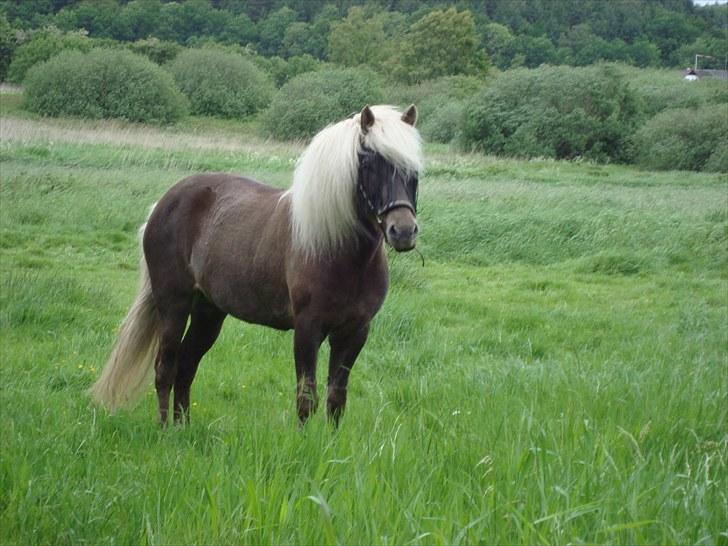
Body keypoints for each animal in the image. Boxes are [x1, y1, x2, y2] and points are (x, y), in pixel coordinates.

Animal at [89, 103, 424, 424]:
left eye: (414, 169)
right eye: (370, 163)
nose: (403, 230)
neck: (342, 253)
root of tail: (162, 204)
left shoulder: (355, 332)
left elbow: (335, 401)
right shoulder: (307, 329)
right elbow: (306, 399)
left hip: (208, 312)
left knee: (185, 367)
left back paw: (183, 428)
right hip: (174, 305)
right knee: (165, 369)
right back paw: (164, 431)